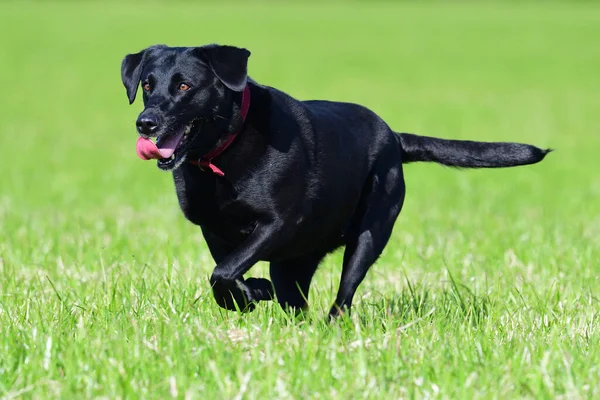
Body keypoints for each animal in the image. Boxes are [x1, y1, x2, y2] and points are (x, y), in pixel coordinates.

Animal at [119, 44, 552, 318]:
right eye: (147, 85)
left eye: (185, 86)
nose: (145, 123)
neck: (224, 151)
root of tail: (395, 137)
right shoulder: (213, 228)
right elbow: (225, 272)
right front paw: (249, 294)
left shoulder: (278, 223)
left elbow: (224, 272)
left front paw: (252, 292)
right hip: (298, 258)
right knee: (296, 297)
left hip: (369, 234)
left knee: (342, 298)